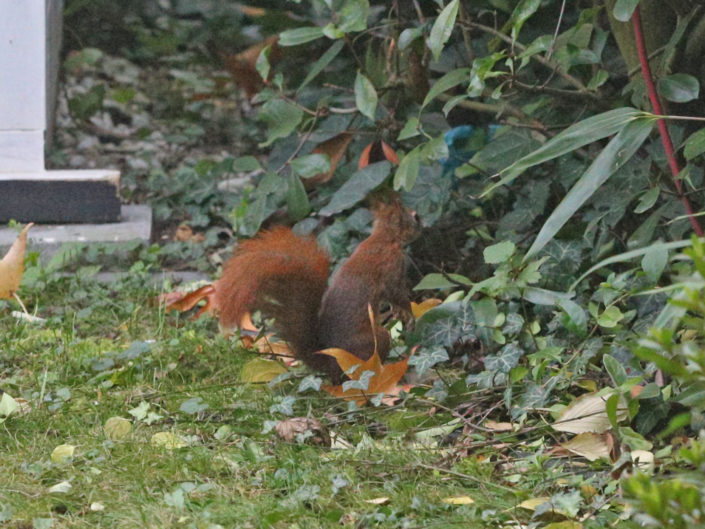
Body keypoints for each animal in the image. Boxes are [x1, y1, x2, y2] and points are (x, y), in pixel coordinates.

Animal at [215, 197, 419, 382]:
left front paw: (399, 313)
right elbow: (396, 292)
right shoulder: (391, 265)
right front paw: (408, 313)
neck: (382, 238)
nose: (421, 222)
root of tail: (329, 362)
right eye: (414, 217)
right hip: (372, 343)